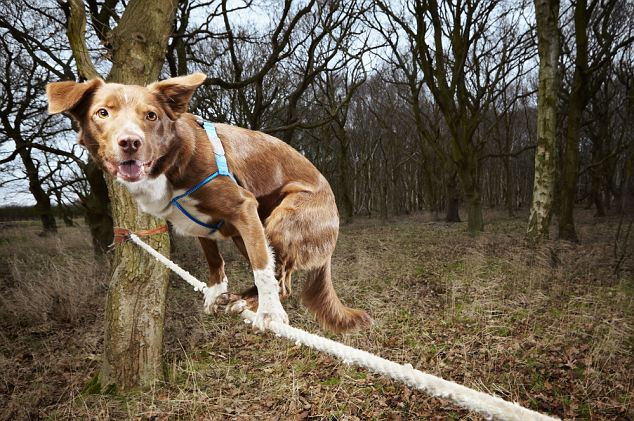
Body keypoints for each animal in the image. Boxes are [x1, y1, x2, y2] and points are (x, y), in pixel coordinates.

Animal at [48, 73, 370, 332]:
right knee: (277, 275)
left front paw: (269, 313)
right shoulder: (200, 225)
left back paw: (253, 305)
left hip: (282, 219)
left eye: (151, 116)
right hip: (250, 233)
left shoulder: (243, 206)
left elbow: (262, 267)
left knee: (281, 280)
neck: (172, 160)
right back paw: (242, 300)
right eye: (102, 113)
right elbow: (214, 259)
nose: (130, 142)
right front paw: (217, 293)